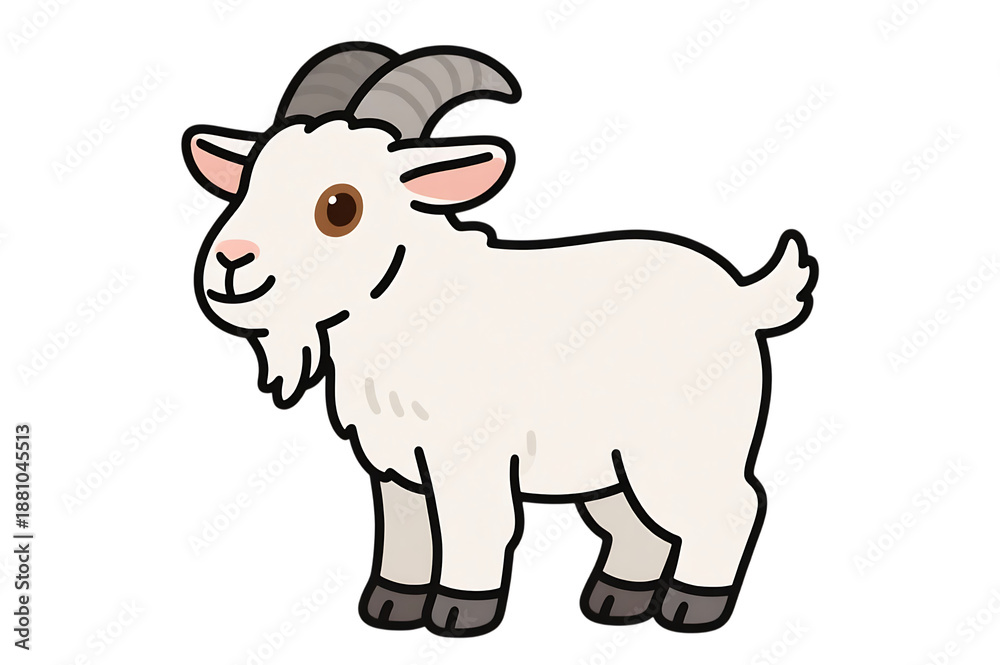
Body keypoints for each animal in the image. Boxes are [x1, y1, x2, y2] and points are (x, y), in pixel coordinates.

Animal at [182, 42, 818, 637]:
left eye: (341, 205)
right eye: (247, 183)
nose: (229, 264)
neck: (417, 311)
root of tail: (745, 295)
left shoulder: (473, 460)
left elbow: (477, 528)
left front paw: (459, 613)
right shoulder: (395, 469)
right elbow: (409, 533)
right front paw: (391, 605)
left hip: (688, 446)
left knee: (732, 506)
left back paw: (692, 606)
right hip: (610, 463)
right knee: (635, 525)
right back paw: (616, 599)